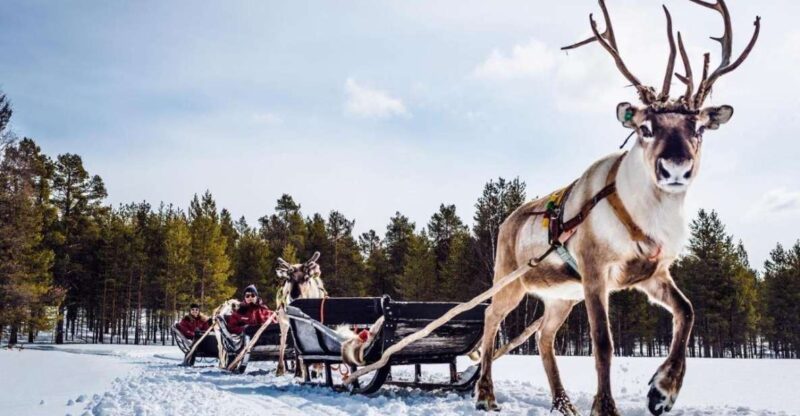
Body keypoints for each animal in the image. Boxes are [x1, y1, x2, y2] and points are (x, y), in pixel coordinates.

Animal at [474, 1, 760, 415]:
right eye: (645, 128)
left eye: (699, 128)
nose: (676, 168)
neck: (648, 220)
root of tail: (505, 221)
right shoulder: (595, 269)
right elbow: (603, 343)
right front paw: (606, 406)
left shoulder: (652, 272)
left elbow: (687, 311)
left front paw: (662, 391)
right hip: (510, 277)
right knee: (490, 317)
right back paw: (484, 393)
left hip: (561, 296)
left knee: (544, 336)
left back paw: (563, 402)